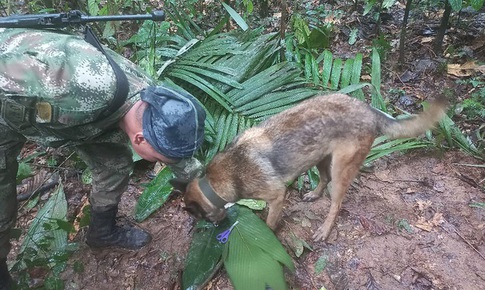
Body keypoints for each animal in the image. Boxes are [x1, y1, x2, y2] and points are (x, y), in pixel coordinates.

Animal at [182, 94, 446, 241]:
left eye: (199, 216)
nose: (216, 227)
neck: (215, 182)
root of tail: (368, 109)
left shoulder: (276, 196)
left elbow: (269, 223)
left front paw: (267, 235)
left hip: (341, 170)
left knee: (336, 203)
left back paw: (325, 230)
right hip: (320, 157)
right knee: (324, 179)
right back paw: (314, 194)